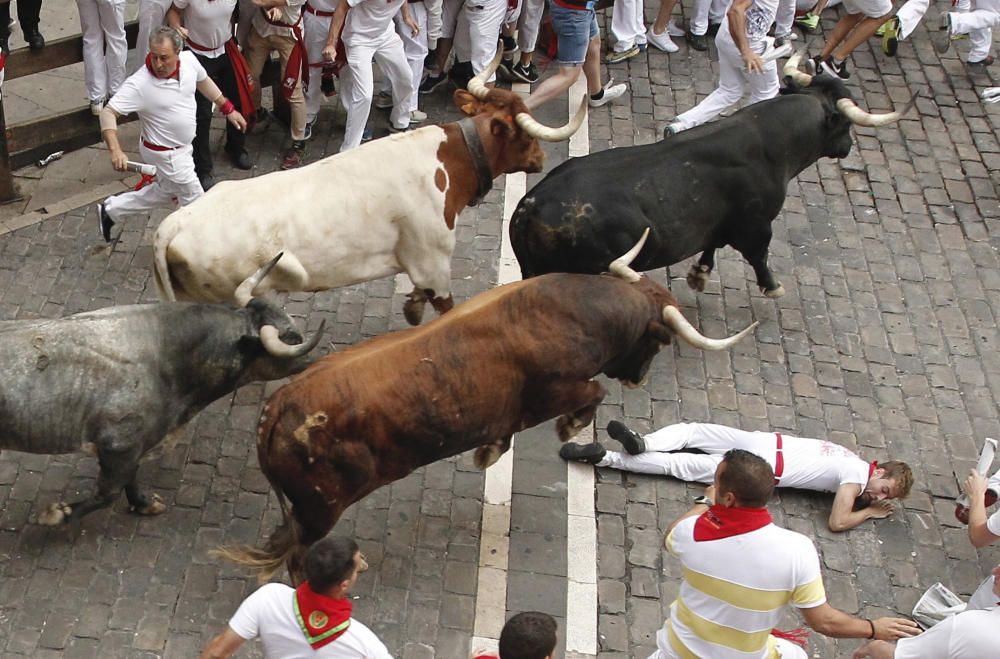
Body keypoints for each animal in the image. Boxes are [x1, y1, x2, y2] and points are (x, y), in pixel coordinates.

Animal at [0, 256, 320, 524]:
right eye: (292, 339)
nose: (316, 360)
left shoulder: (133, 445)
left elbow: (130, 479)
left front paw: (144, 504)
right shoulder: (119, 445)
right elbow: (107, 493)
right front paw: (56, 514)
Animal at [153, 51, 588, 328]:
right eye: (524, 134)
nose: (540, 159)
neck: (449, 162)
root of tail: (174, 223)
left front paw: (412, 308)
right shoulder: (434, 259)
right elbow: (447, 309)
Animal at [215, 233, 752, 584]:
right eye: (659, 341)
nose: (637, 378)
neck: (574, 312)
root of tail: (279, 407)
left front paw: (492, 449)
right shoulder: (556, 390)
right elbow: (591, 395)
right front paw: (569, 428)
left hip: (306, 509)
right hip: (320, 508)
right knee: (299, 556)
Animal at [512, 52, 916, 298]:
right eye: (845, 124)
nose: (847, 147)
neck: (768, 142)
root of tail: (533, 202)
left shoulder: (719, 223)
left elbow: (711, 244)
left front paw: (699, 273)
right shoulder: (757, 224)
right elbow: (759, 256)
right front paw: (772, 286)